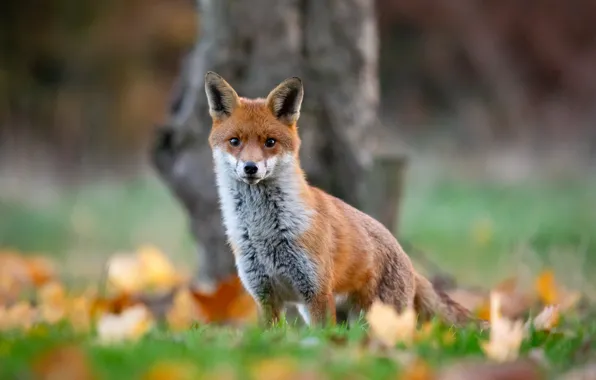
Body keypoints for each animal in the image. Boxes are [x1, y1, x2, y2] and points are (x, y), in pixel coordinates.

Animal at [205, 72, 480, 328]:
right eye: (234, 141)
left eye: (270, 142)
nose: (250, 167)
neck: (263, 231)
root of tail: (410, 263)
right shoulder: (264, 295)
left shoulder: (317, 291)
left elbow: (322, 338)